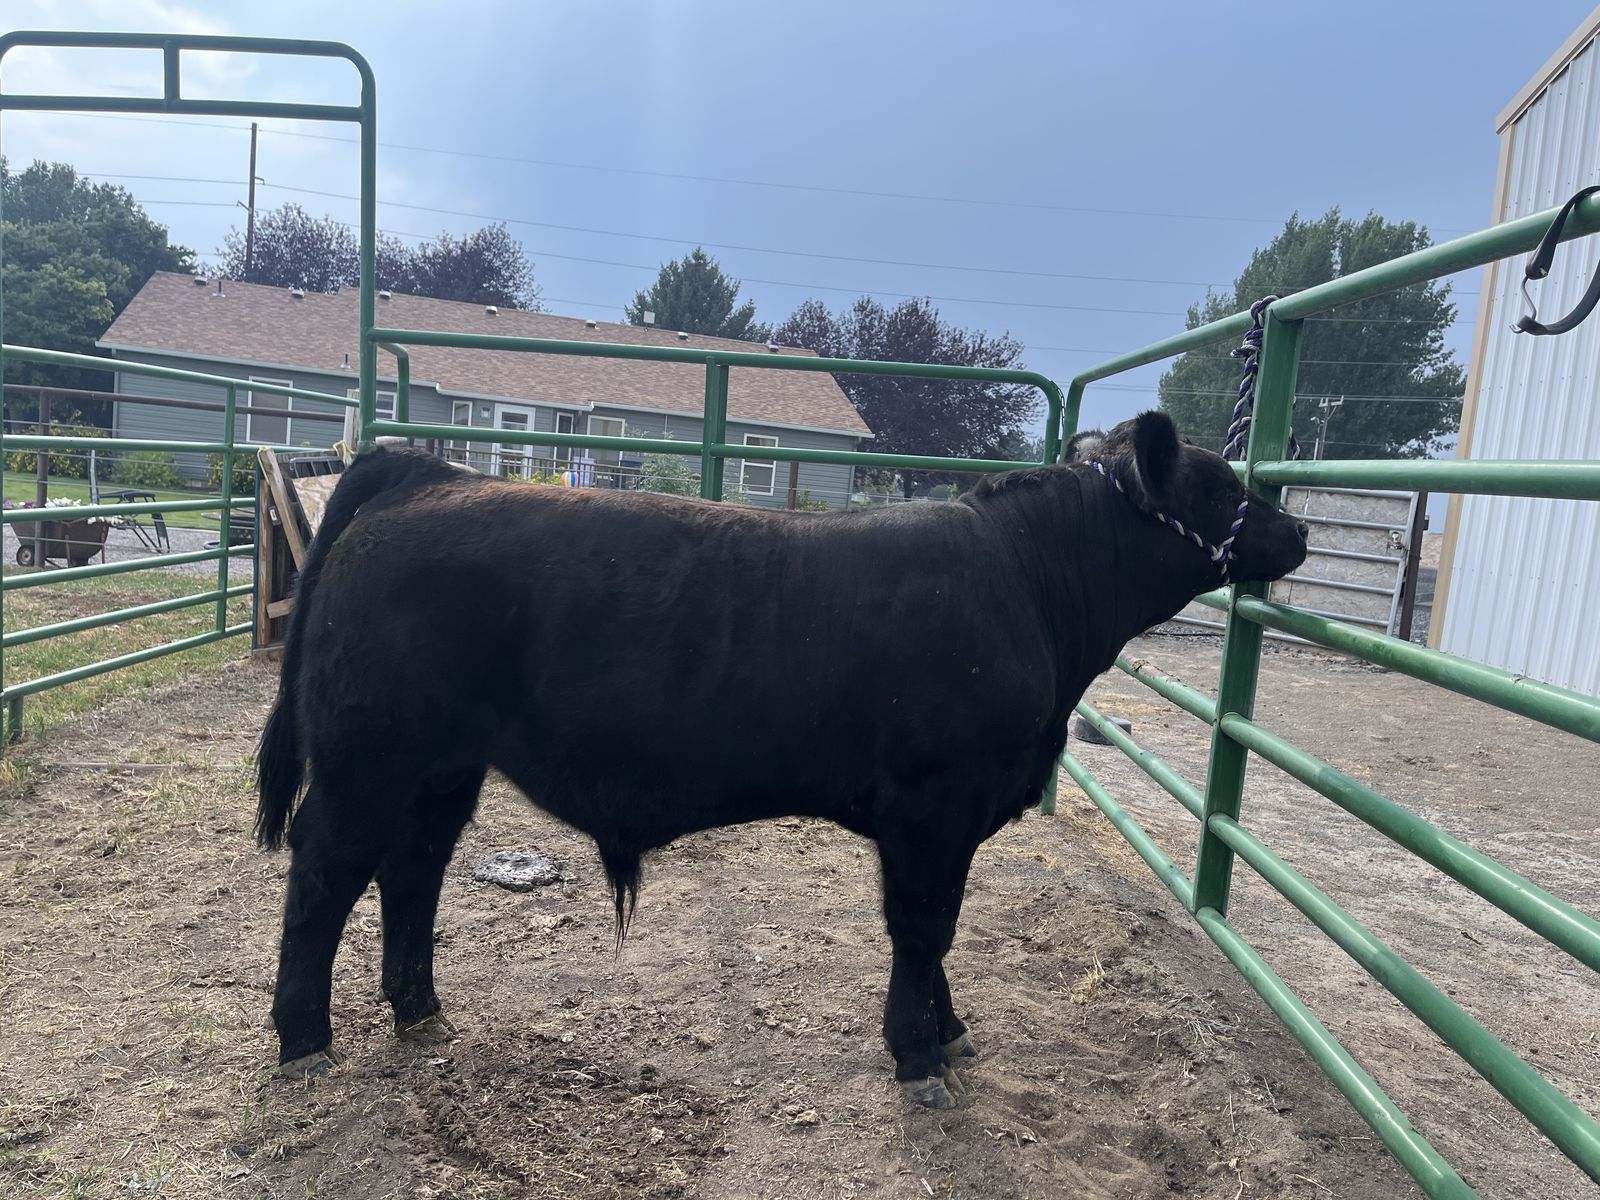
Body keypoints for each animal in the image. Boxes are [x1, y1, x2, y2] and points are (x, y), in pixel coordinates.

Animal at [255, 409, 1306, 1108]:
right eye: (1220, 486)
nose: (1296, 530)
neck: (1028, 588)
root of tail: (424, 473)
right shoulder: (933, 808)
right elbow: (924, 927)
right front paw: (919, 1055)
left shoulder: (955, 818)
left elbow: (942, 934)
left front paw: (950, 1033)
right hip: (368, 759)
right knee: (325, 871)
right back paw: (305, 1037)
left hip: (442, 768)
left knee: (414, 868)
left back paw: (419, 1008)